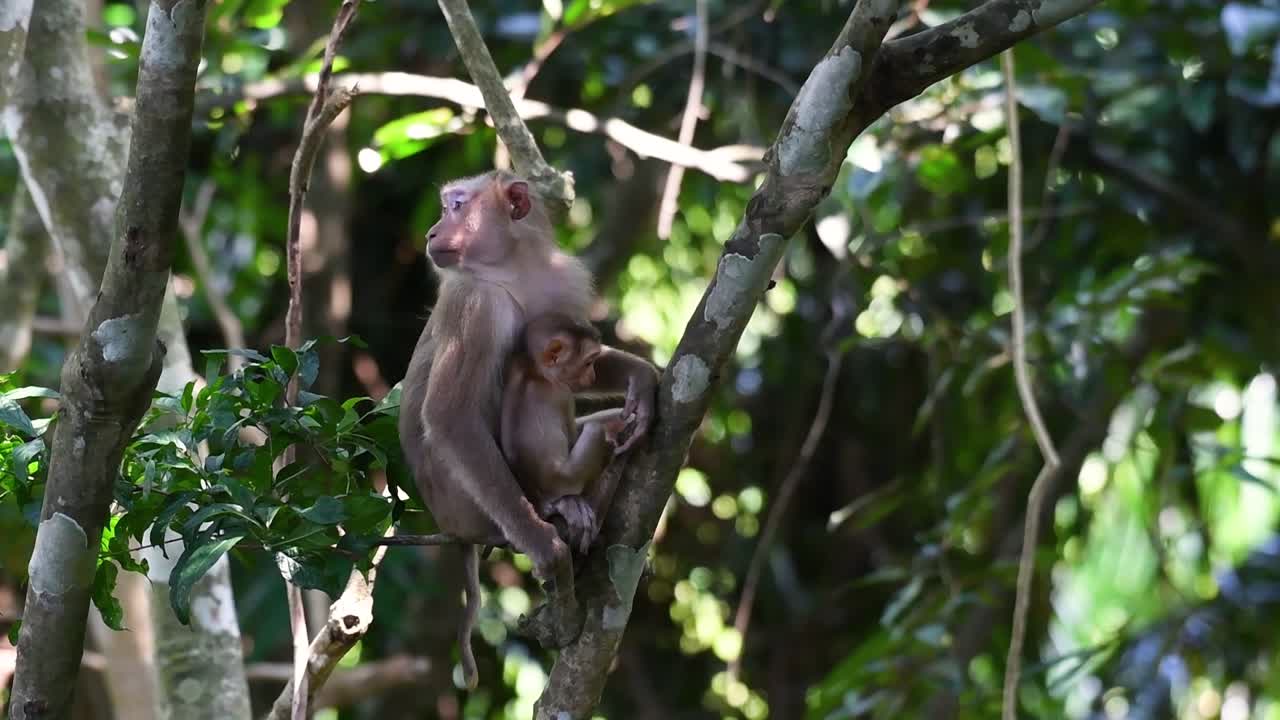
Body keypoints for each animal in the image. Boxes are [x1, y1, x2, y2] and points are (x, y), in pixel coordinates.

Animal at [500, 313, 633, 556]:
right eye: (589, 362)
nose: (592, 376)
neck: (534, 370)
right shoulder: (562, 393)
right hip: (573, 482)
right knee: (595, 433)